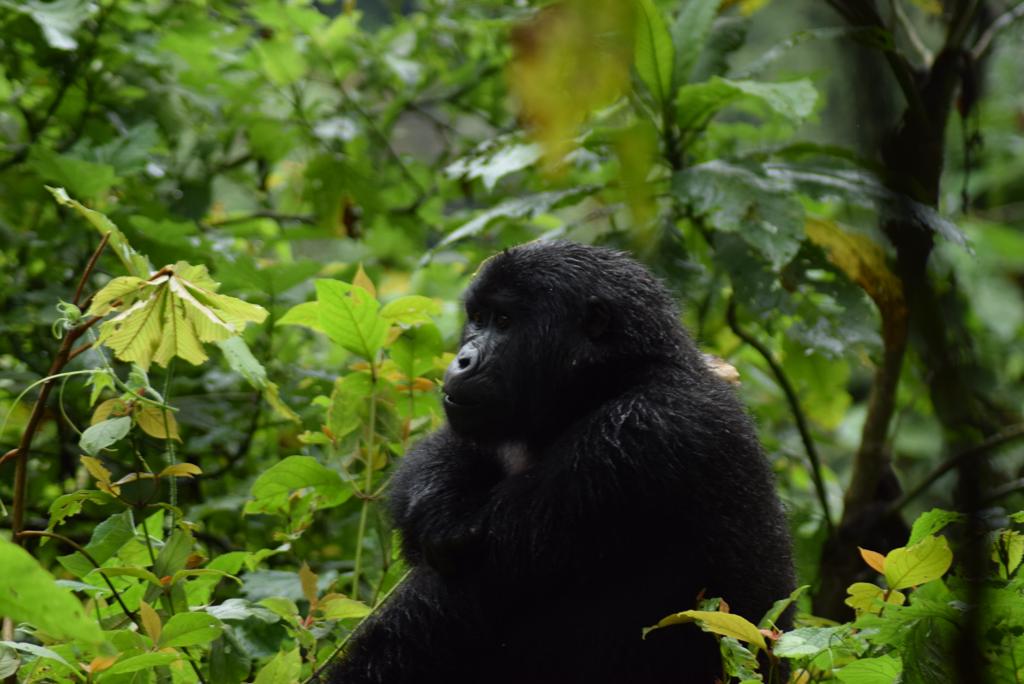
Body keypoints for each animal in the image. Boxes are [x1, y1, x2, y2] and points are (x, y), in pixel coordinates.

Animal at [331, 241, 794, 684]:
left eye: (504, 321)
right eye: (477, 318)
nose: (461, 359)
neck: (614, 378)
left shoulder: (638, 436)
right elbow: (447, 451)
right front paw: (435, 496)